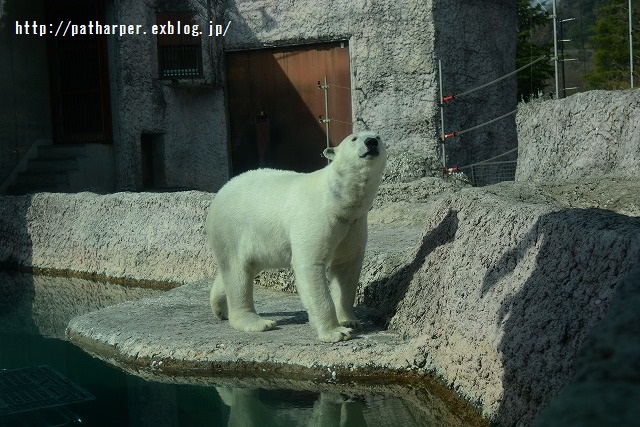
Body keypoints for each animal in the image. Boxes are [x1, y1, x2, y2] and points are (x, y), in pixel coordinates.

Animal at [206, 131, 384, 344]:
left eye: (379, 137)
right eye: (354, 138)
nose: (371, 142)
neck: (337, 200)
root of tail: (221, 191)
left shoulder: (353, 224)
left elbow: (346, 268)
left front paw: (350, 321)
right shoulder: (316, 217)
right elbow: (310, 265)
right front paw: (336, 332)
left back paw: (219, 307)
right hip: (231, 229)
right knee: (237, 272)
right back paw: (259, 322)